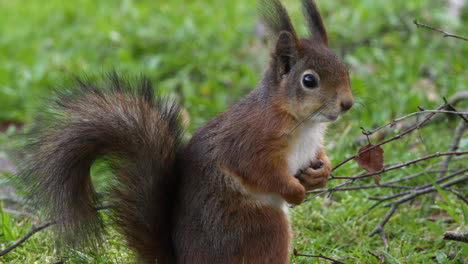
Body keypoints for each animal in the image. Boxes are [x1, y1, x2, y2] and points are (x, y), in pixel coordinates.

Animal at [19, 0, 354, 264]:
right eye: (309, 81)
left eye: (345, 69)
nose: (348, 104)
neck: (302, 121)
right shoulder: (250, 138)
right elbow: (257, 169)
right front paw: (295, 191)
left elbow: (317, 157)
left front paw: (320, 173)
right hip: (260, 227)